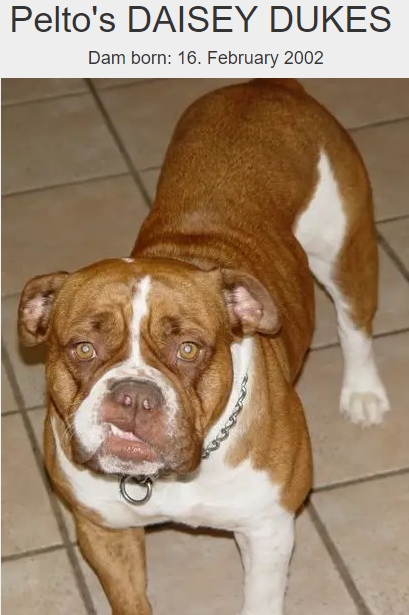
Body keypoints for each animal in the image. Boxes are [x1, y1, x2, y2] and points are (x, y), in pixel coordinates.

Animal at [18, 79, 389, 615]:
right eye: (84, 349)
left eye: (190, 349)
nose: (133, 396)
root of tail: (268, 85)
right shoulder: (104, 533)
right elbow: (131, 601)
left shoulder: (268, 530)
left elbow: (260, 600)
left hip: (345, 250)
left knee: (354, 324)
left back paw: (363, 394)